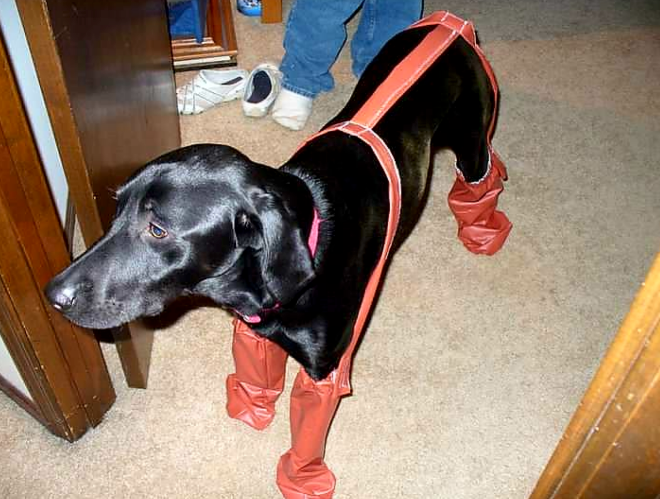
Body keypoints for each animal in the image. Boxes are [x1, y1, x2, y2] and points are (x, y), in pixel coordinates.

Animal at [46, 12, 511, 498]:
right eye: (117, 210)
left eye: (157, 229)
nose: (52, 296)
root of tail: (451, 26)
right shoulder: (254, 330)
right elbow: (256, 375)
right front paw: (251, 409)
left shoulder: (323, 373)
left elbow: (308, 431)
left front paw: (302, 479)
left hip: (472, 142)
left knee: (482, 175)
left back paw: (483, 230)